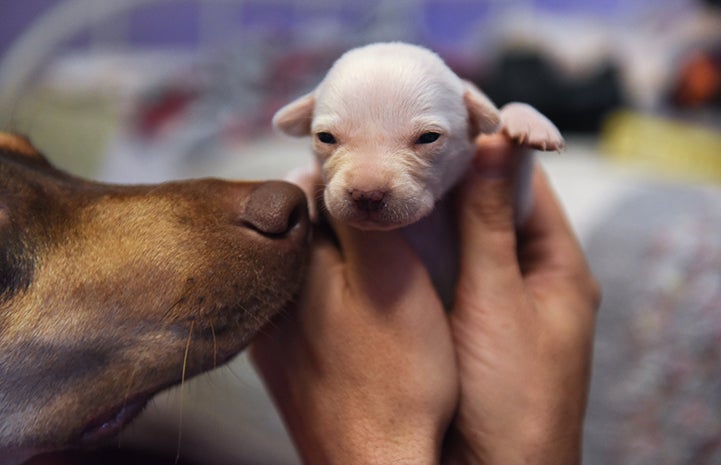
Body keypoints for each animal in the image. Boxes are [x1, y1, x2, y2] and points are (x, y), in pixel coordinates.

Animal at [272, 41, 560, 302]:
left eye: (429, 137)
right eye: (325, 137)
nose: (366, 194)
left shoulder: (518, 222)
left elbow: (518, 197)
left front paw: (527, 121)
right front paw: (299, 185)